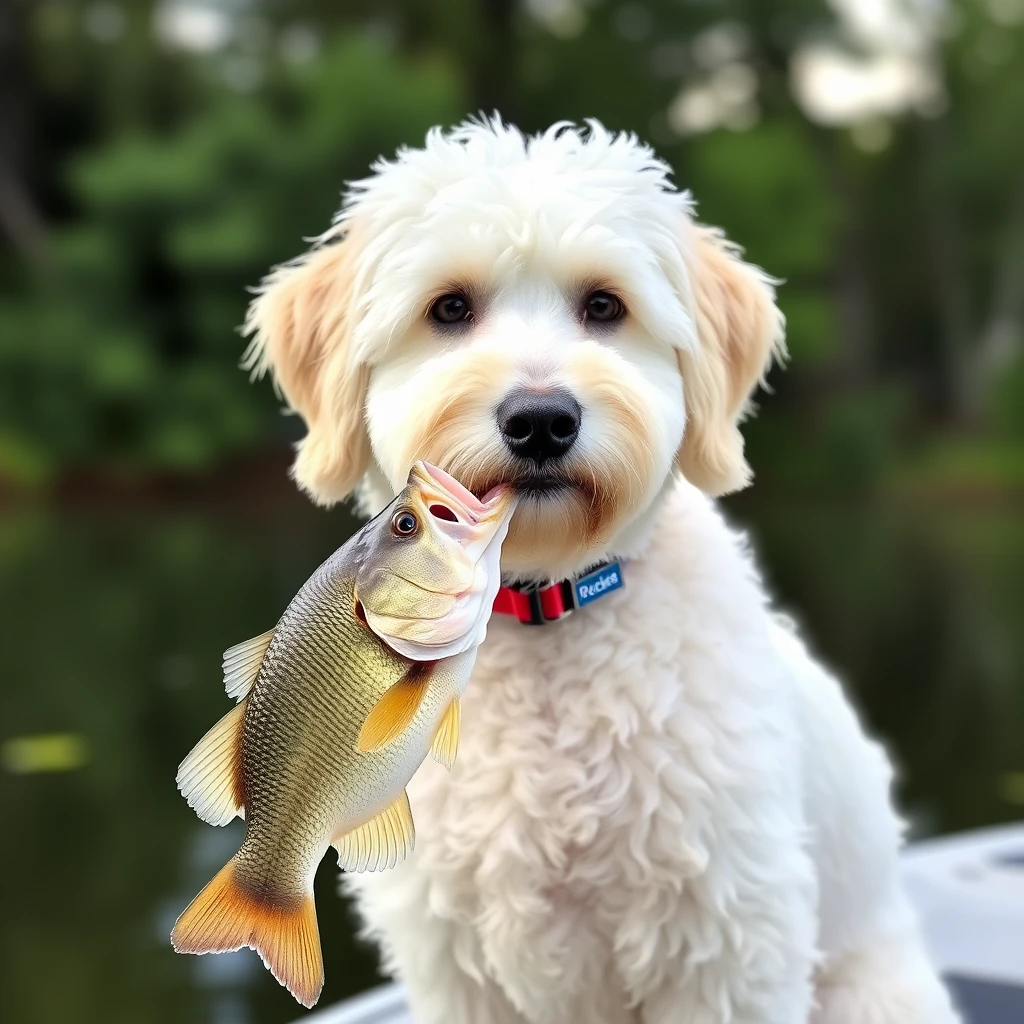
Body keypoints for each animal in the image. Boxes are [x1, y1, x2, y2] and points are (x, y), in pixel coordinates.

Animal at [241, 117, 958, 1024]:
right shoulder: (453, 958)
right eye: (450, 308)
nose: (541, 419)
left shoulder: (725, 940)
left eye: (605, 306)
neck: (549, 617)